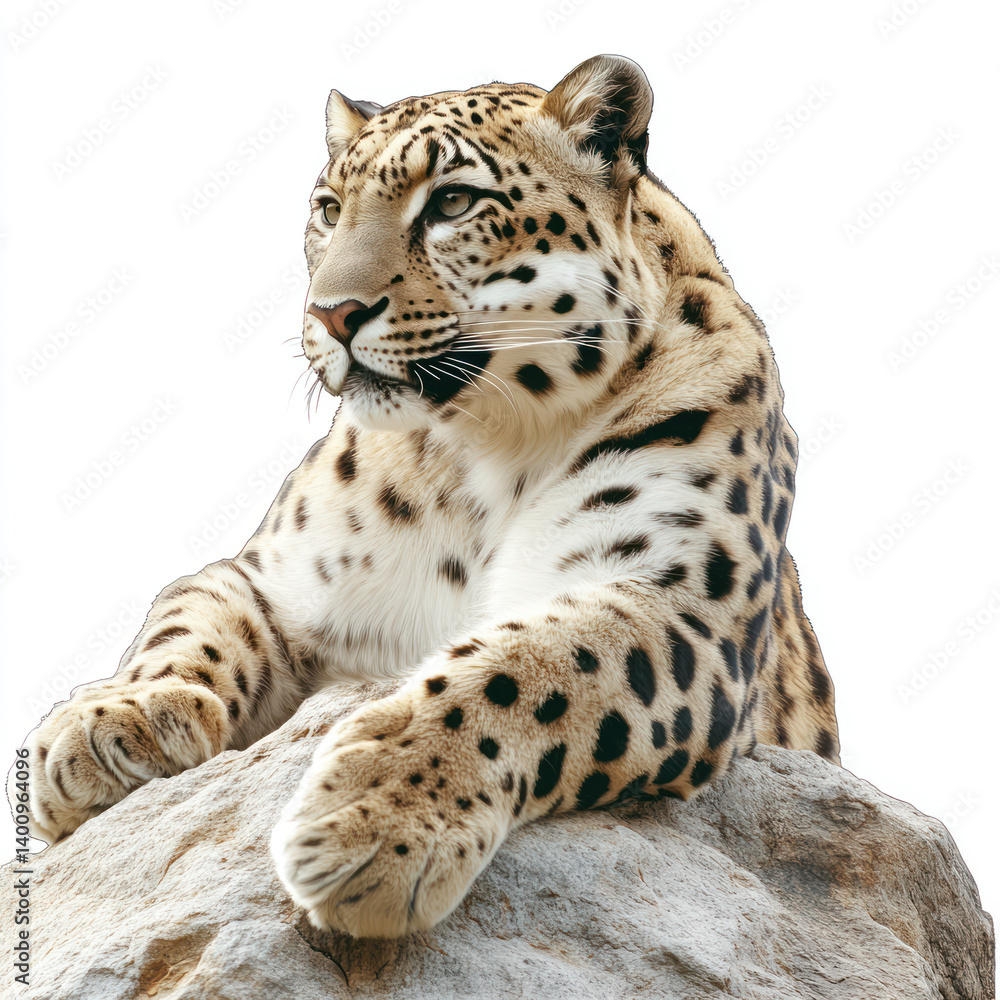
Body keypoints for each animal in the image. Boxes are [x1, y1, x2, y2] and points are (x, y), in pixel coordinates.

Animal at [18, 54, 840, 939]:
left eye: (451, 202)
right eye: (329, 210)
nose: (331, 313)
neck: (489, 447)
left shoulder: (681, 604)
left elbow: (528, 668)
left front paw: (372, 821)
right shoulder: (271, 579)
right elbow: (186, 621)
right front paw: (110, 726)